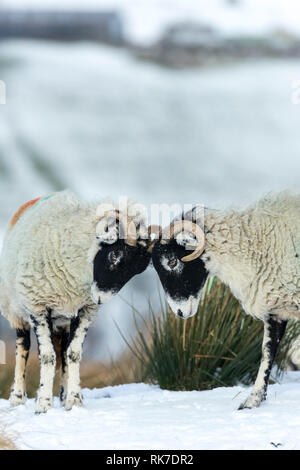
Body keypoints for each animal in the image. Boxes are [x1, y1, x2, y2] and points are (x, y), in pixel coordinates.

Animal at [0, 189, 150, 414]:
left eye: (137, 270)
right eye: (115, 254)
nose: (100, 298)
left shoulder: (85, 310)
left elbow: (73, 354)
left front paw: (74, 400)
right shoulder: (38, 307)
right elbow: (46, 356)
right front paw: (43, 405)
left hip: (62, 320)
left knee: (62, 352)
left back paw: (62, 397)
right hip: (16, 311)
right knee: (23, 348)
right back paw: (17, 397)